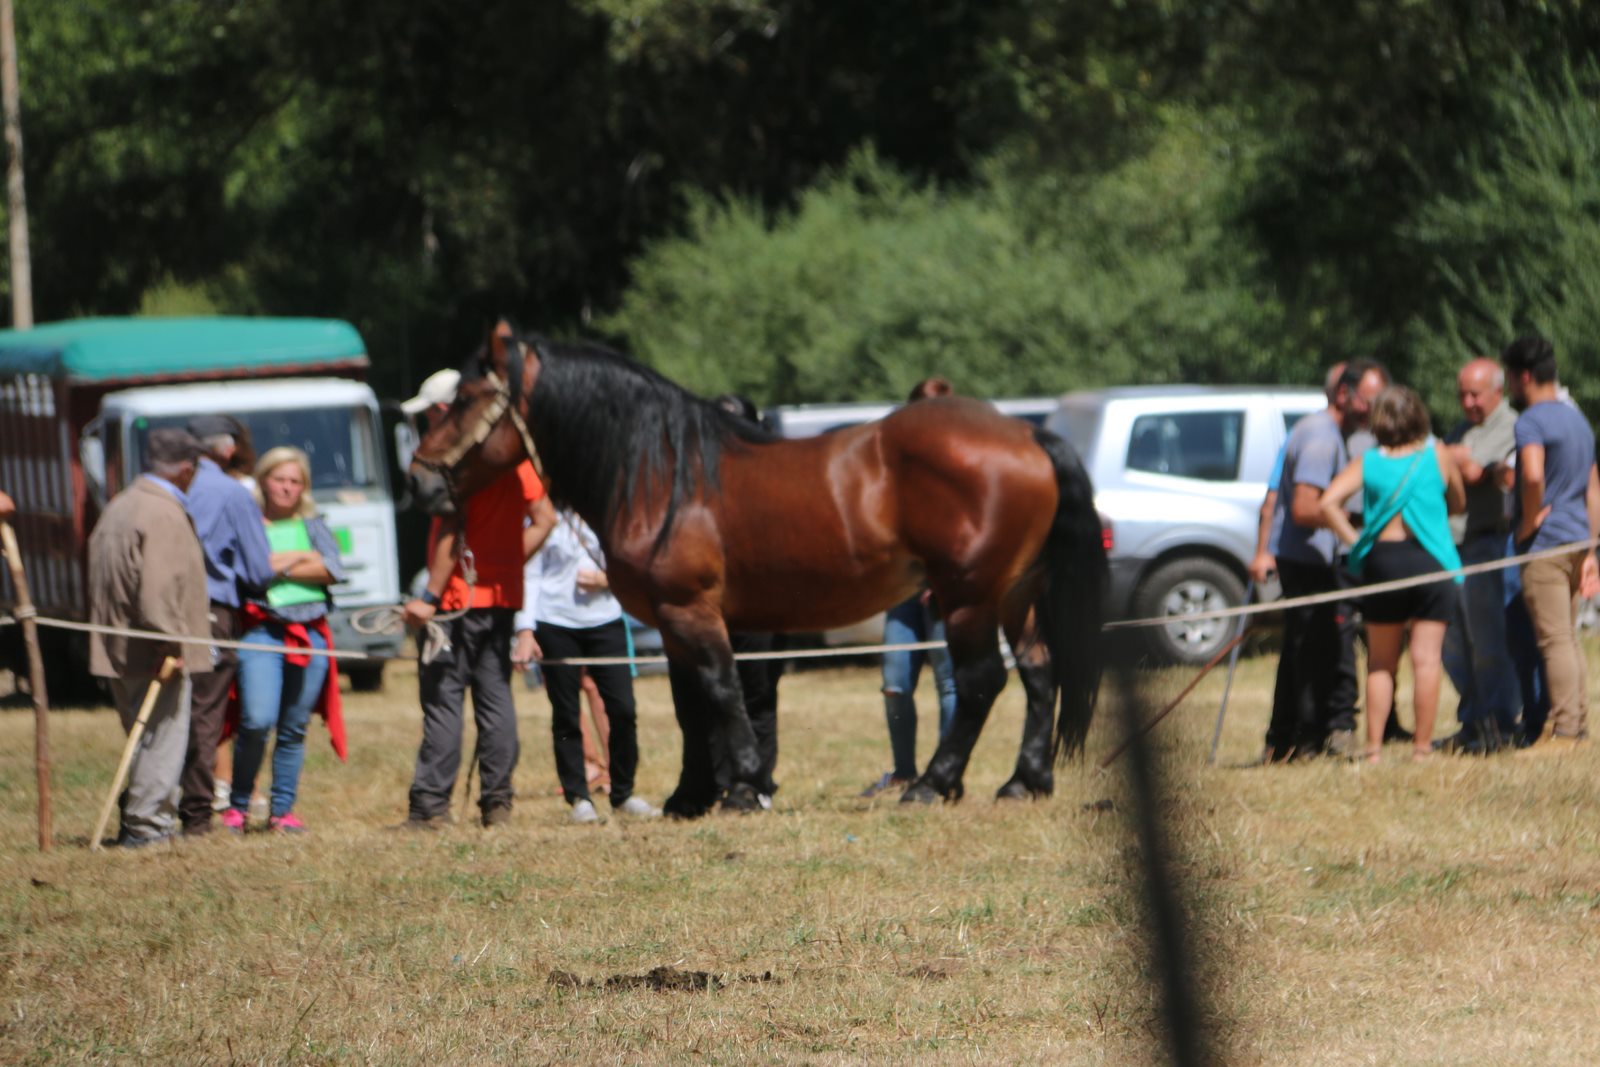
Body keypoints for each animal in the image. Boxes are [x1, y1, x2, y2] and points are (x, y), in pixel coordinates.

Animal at [406, 321, 1107, 812]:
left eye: (466, 398)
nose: (420, 480)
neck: (663, 475)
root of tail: (1026, 433)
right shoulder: (670, 621)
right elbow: (690, 705)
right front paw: (690, 795)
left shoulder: (692, 609)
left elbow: (722, 689)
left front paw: (743, 786)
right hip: (1015, 592)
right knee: (1040, 672)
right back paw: (1023, 781)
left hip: (967, 595)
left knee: (984, 680)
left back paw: (933, 784)